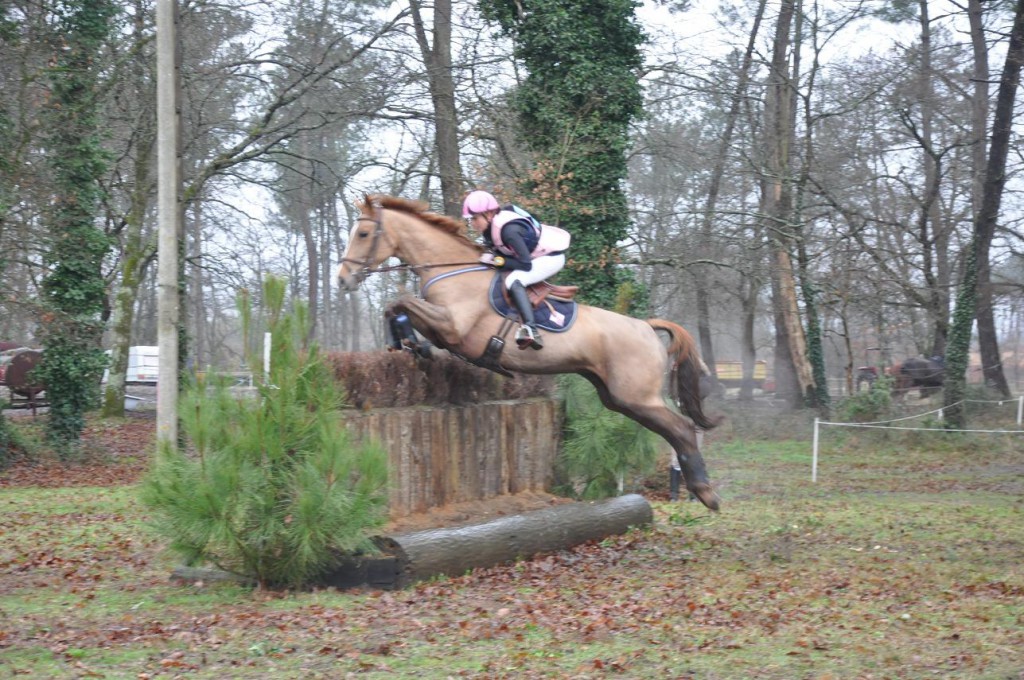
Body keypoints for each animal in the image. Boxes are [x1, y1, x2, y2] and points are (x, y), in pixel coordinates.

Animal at [335, 195, 720, 510]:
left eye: (364, 234)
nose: (342, 280)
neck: (452, 270)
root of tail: (645, 326)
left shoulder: (454, 328)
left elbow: (401, 302)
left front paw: (412, 342)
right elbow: (395, 307)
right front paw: (408, 343)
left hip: (637, 395)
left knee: (683, 427)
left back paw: (706, 492)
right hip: (618, 398)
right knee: (672, 430)